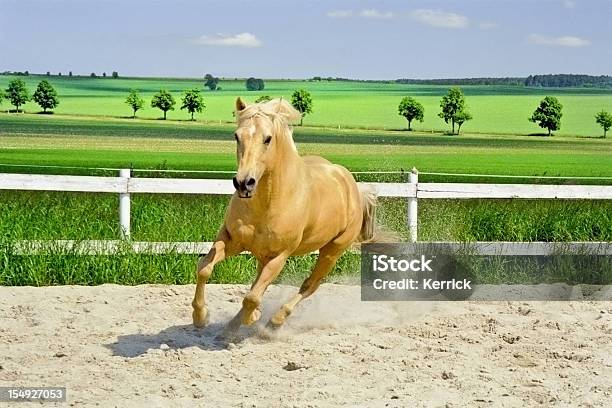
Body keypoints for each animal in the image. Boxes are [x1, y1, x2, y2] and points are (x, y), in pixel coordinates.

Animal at [190, 97, 378, 334]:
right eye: (236, 136)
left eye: (268, 138)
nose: (244, 183)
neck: (269, 202)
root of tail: (351, 185)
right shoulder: (231, 240)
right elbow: (204, 268)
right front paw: (200, 317)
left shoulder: (280, 256)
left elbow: (252, 297)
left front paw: (252, 318)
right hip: (265, 253)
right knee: (260, 283)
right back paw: (235, 324)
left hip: (331, 252)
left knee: (310, 285)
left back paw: (274, 321)